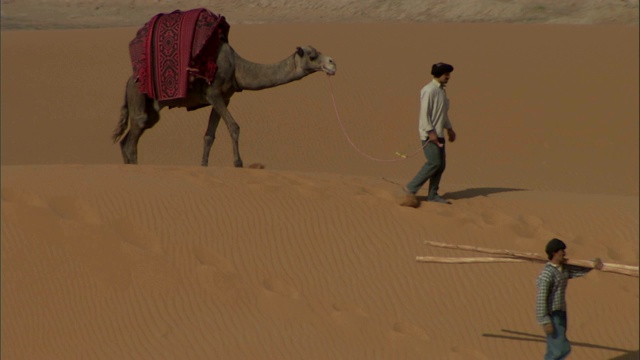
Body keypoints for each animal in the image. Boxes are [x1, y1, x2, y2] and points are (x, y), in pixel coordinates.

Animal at [112, 43, 338, 167]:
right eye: (312, 56)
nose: (332, 63)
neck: (238, 68)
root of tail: (128, 82)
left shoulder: (224, 97)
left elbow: (209, 135)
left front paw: (204, 165)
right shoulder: (214, 93)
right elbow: (234, 126)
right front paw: (238, 164)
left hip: (149, 109)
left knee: (126, 140)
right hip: (139, 98)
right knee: (132, 139)